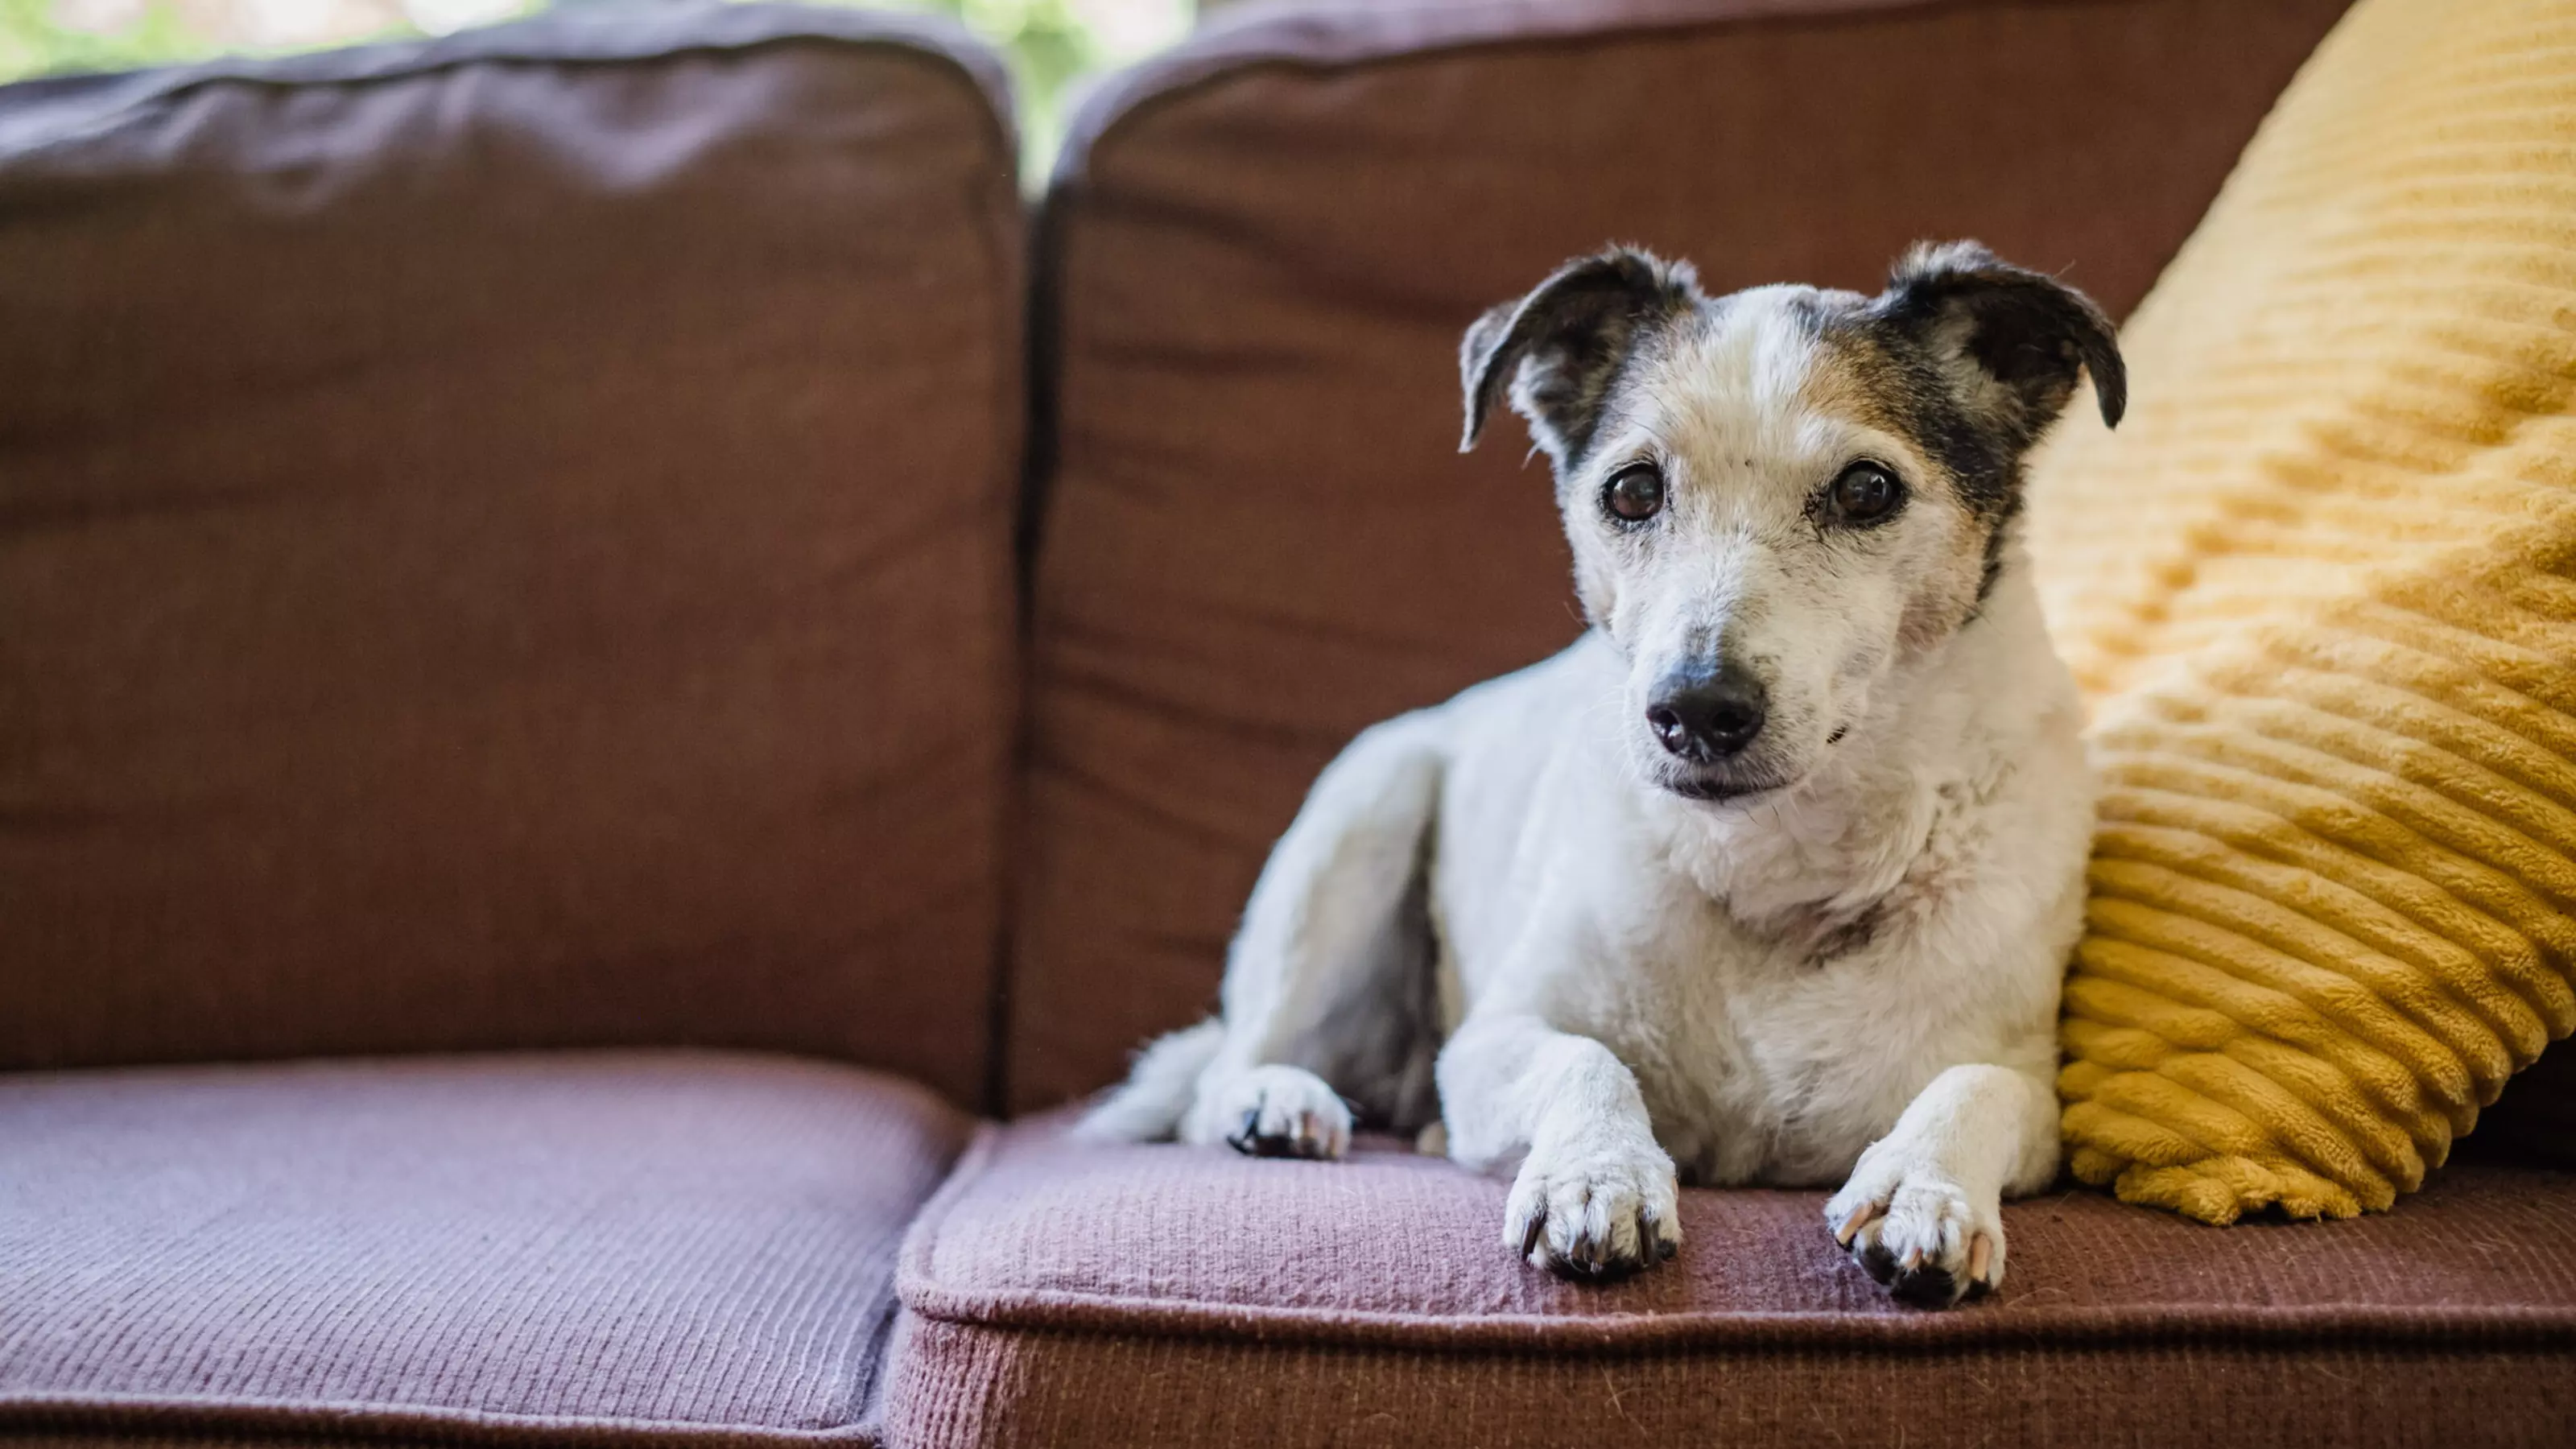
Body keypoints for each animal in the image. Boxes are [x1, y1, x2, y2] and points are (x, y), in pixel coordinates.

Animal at [1082, 242, 2112, 1304]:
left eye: (1867, 491)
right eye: (1631, 492)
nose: (1692, 709)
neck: (1770, 866)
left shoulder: (2027, 1094)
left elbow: (1977, 1084)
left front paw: (1923, 1187)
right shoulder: (1492, 1041)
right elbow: (1583, 1060)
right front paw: (1597, 1175)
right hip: (1362, 814)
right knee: (1223, 1075)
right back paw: (1280, 1104)